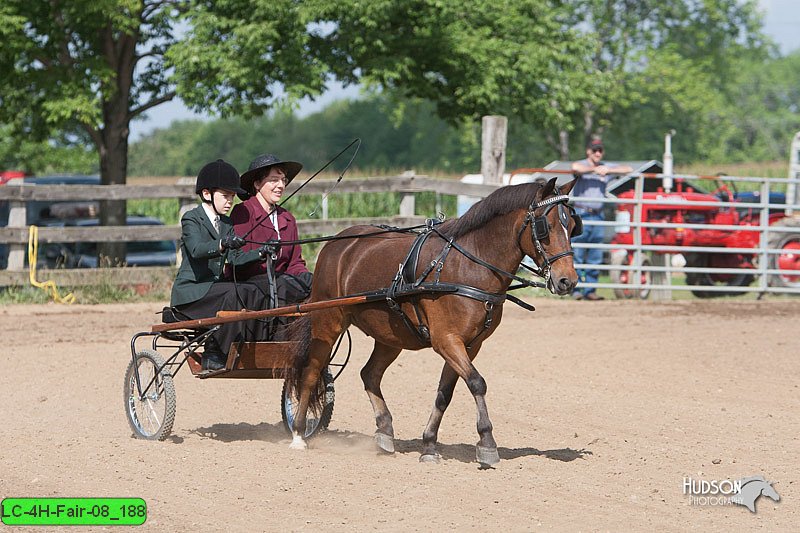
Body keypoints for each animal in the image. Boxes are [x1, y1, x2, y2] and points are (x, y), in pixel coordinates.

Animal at [288, 177, 580, 464]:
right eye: (546, 227)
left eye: (572, 225)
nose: (568, 281)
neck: (468, 265)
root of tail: (337, 242)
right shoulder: (446, 340)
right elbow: (477, 383)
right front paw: (487, 442)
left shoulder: (469, 345)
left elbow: (445, 393)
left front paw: (429, 445)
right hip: (327, 321)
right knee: (311, 372)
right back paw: (299, 433)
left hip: (391, 336)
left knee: (370, 374)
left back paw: (384, 431)